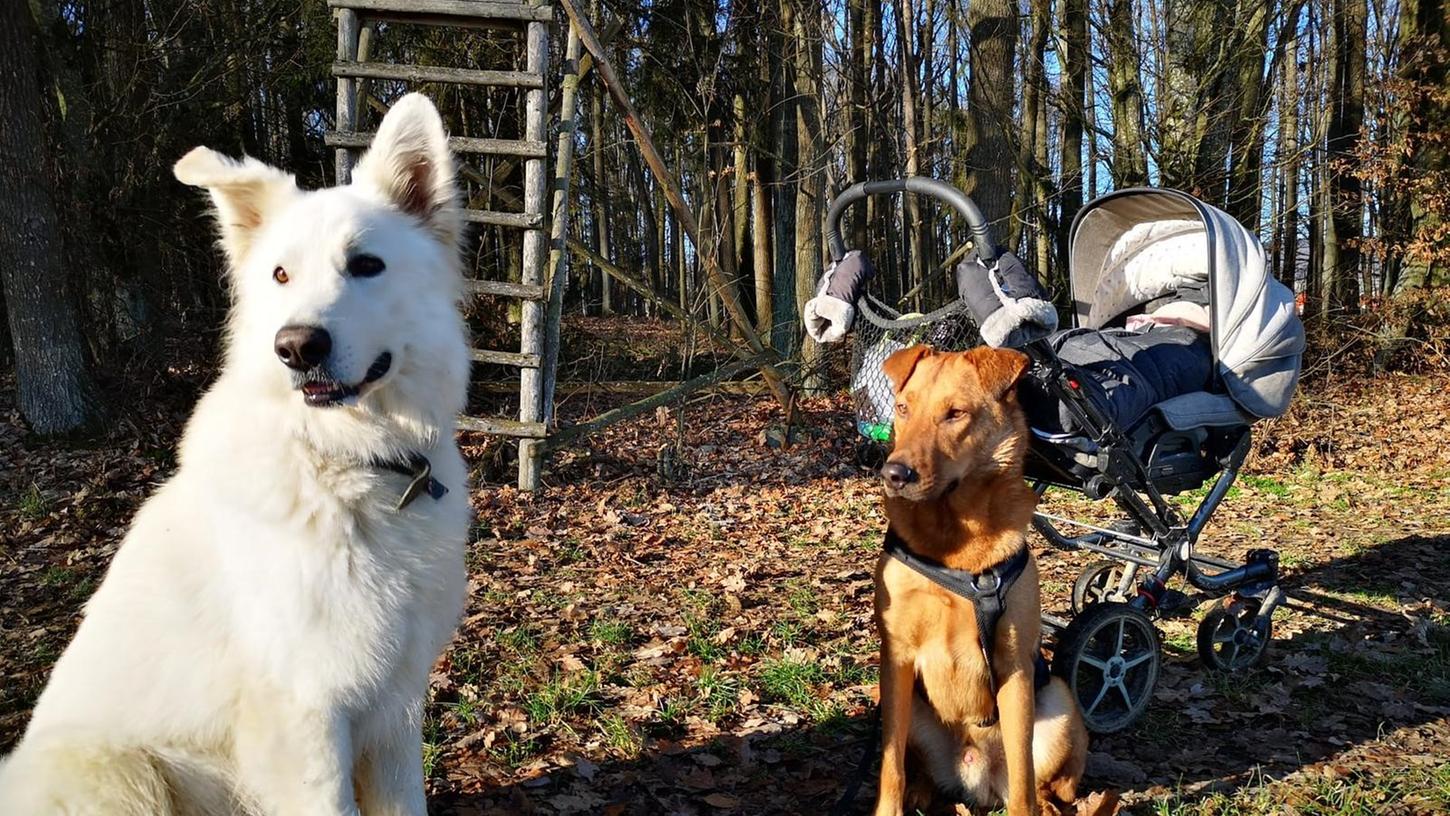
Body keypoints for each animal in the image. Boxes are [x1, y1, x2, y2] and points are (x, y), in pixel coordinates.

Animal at [0, 92, 472, 811]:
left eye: (366, 264)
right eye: (280, 274)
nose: (296, 347)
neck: (347, 465)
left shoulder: (395, 704)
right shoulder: (308, 714)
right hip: (119, 771)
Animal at [870, 346, 1090, 816]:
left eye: (955, 413)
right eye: (903, 408)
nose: (895, 474)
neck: (953, 549)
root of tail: (979, 778)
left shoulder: (1012, 666)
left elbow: (1024, 777)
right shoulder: (896, 657)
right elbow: (891, 764)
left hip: (1058, 700)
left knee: (1046, 784)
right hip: (910, 706)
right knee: (916, 768)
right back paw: (921, 791)